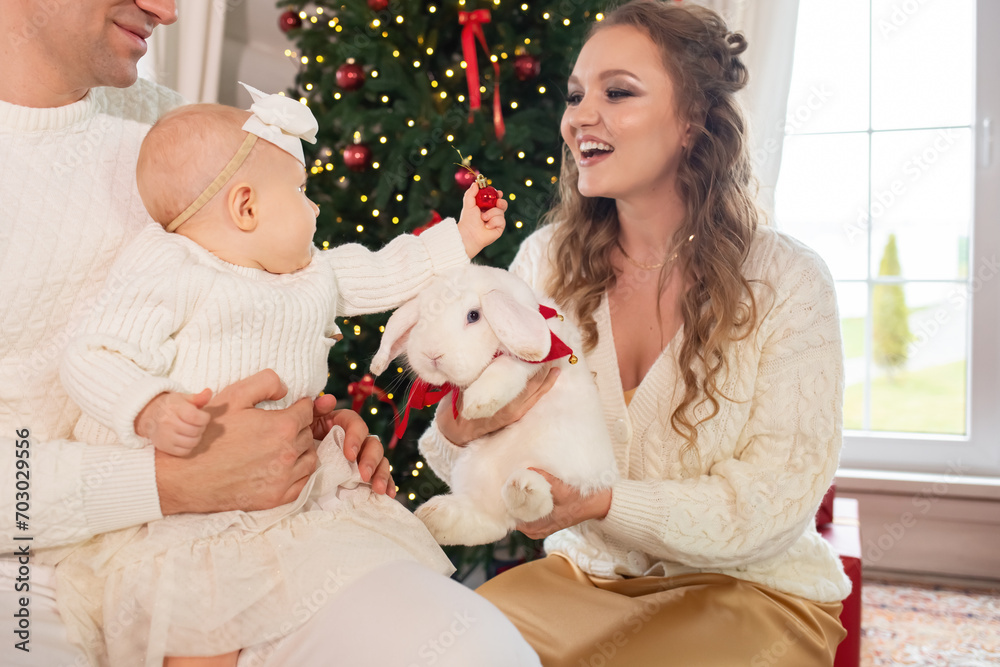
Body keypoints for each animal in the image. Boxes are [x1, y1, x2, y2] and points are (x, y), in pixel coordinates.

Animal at [372, 264, 612, 544]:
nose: (431, 354)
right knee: (489, 522)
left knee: (536, 508)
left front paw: (478, 402)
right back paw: (435, 516)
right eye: (421, 319)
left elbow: (506, 365)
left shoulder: (535, 362)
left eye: (474, 315)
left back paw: (524, 488)